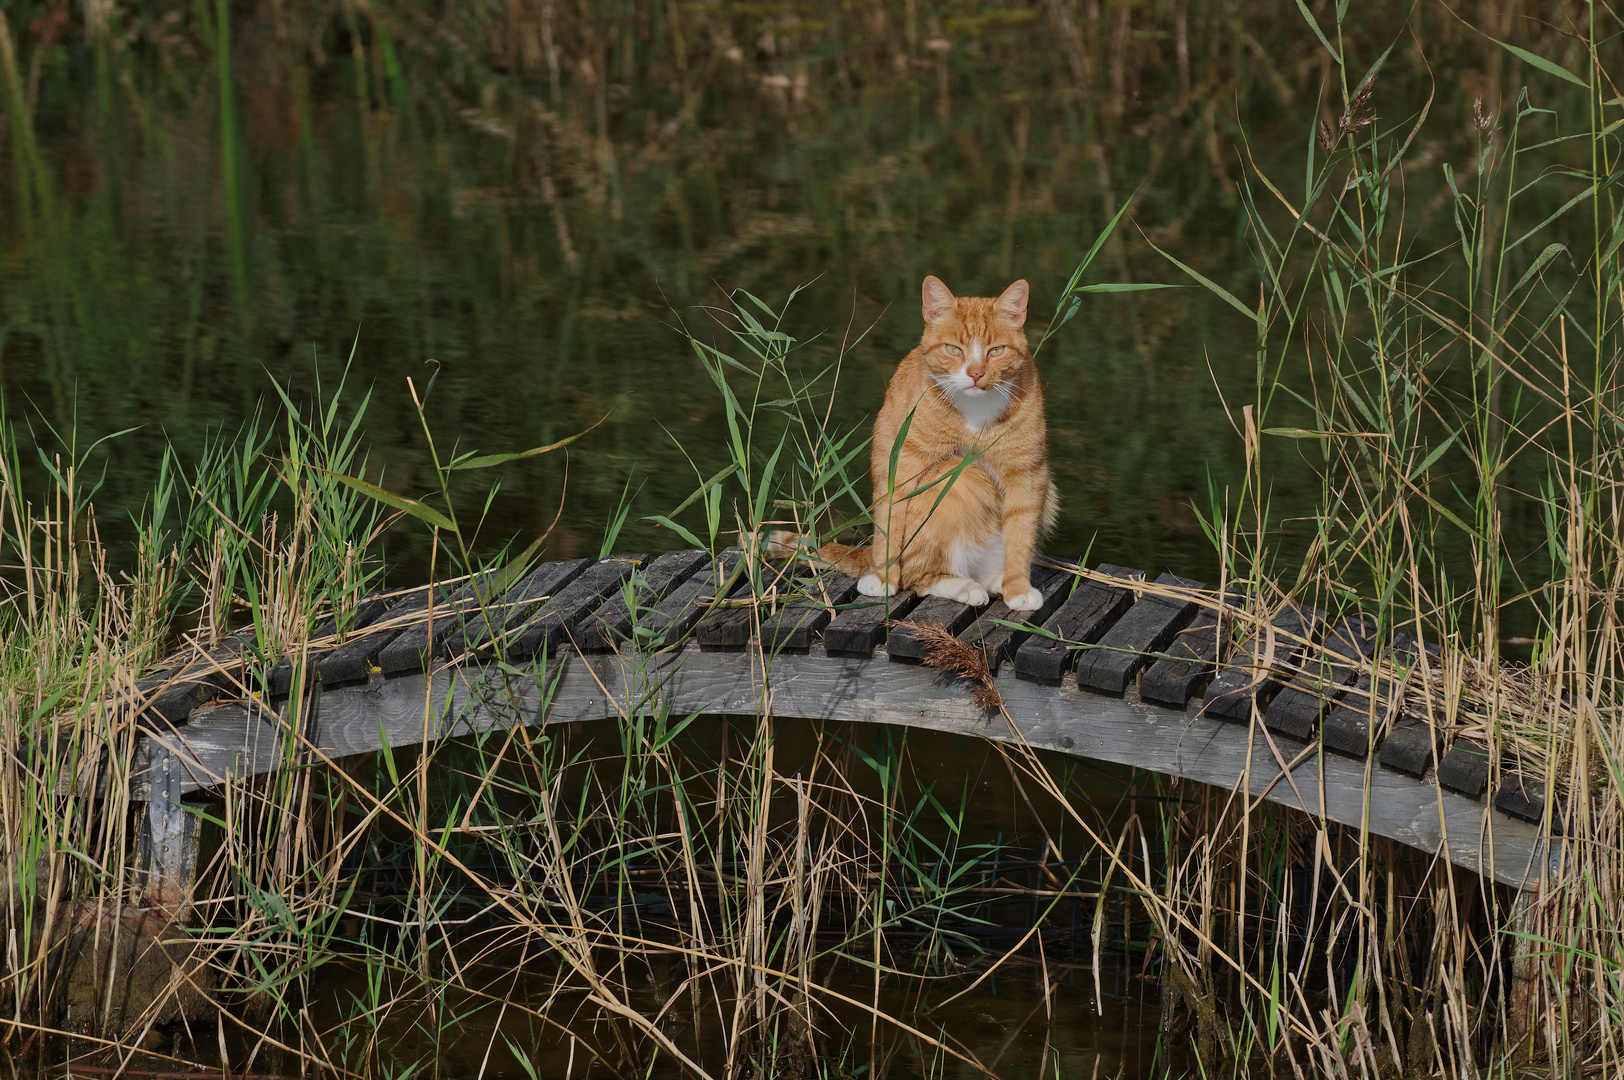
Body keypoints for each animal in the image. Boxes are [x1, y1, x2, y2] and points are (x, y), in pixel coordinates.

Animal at [776, 274, 1058, 610]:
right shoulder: (902, 460)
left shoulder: (1027, 472)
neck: (976, 411)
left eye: (995, 351)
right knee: (919, 576)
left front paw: (1017, 587)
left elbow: (1021, 532)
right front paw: (882, 577)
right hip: (954, 477)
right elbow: (890, 519)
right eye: (954, 349)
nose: (976, 374)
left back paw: (993, 580)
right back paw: (963, 586)